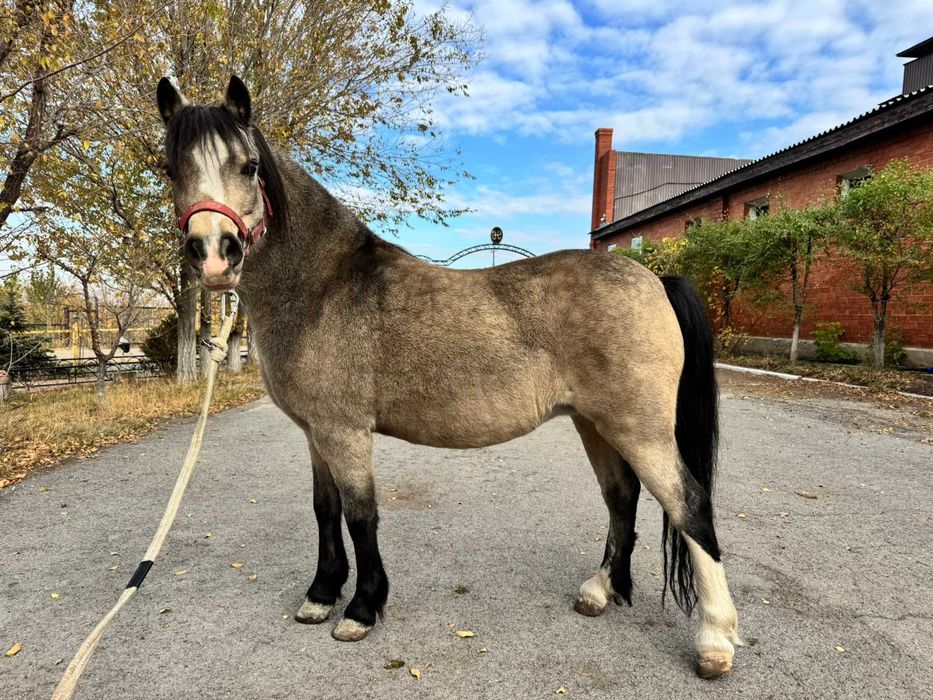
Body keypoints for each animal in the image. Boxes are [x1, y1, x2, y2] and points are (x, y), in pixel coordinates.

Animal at [156, 75, 743, 679]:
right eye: (170, 168)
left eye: (249, 165)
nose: (213, 254)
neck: (324, 286)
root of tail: (654, 279)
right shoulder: (316, 432)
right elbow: (326, 511)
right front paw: (320, 596)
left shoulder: (345, 432)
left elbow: (361, 515)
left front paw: (361, 609)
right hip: (595, 424)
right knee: (622, 497)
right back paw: (600, 592)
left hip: (640, 430)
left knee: (691, 507)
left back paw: (715, 641)